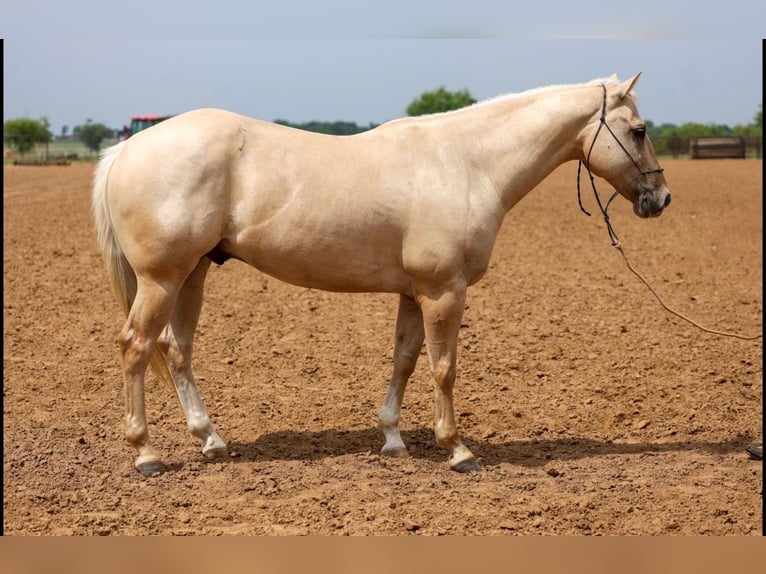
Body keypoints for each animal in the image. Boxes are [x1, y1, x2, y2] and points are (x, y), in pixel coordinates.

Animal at [92, 72, 671, 476]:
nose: (661, 198)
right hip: (161, 279)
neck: (467, 163)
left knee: (177, 349)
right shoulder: (444, 291)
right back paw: (146, 453)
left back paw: (210, 438)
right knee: (136, 346)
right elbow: (444, 368)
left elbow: (405, 360)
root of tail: (128, 147)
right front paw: (457, 450)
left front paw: (392, 439)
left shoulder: (415, 293)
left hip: (191, 275)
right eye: (639, 130)